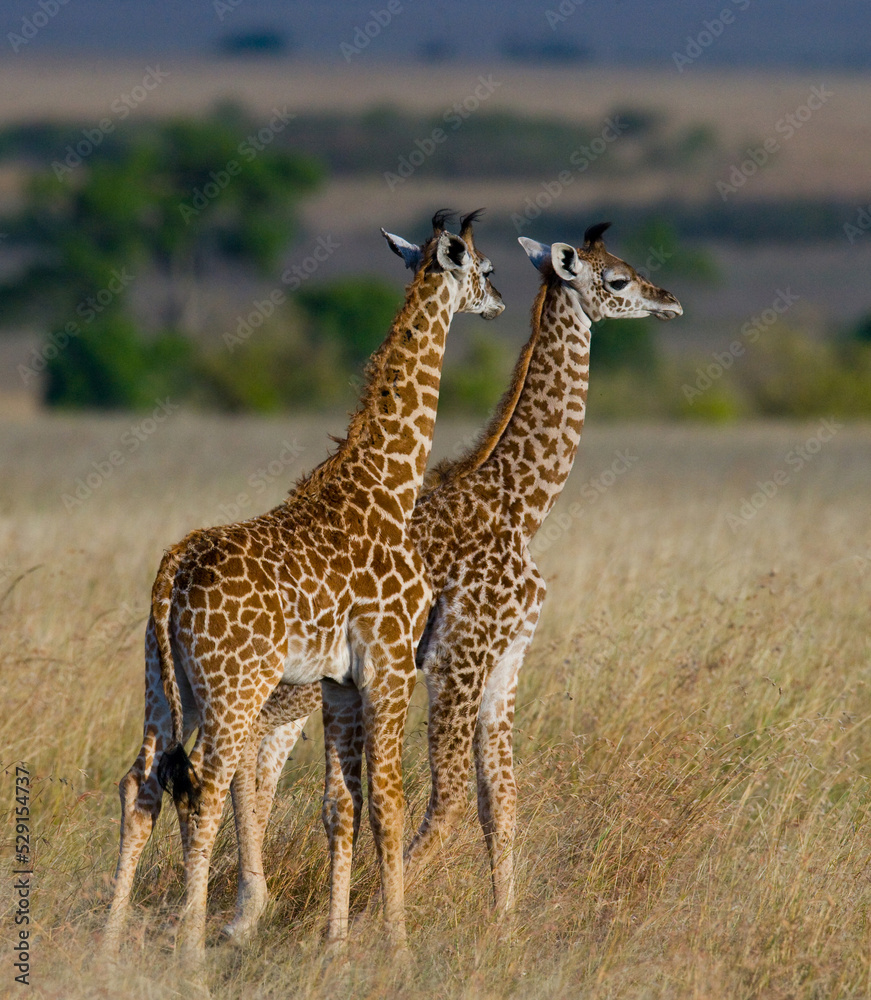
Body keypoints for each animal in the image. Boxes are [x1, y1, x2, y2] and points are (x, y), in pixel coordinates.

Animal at [102, 210, 504, 961]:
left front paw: (338, 946)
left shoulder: (341, 681)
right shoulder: (390, 664)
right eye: (485, 268)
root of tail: (173, 568)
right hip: (234, 688)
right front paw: (397, 947)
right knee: (204, 790)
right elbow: (388, 802)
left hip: (166, 686)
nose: (495, 303)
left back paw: (110, 946)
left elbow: (342, 804)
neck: (388, 486)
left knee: (140, 783)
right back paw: (191, 950)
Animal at [221, 222, 682, 939]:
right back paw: (250, 910)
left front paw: (504, 927)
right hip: (299, 680)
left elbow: (502, 797)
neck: (521, 503)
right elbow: (449, 796)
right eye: (617, 279)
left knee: (260, 762)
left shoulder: (507, 659)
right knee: (247, 755)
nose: (670, 301)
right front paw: (373, 915)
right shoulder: (456, 658)